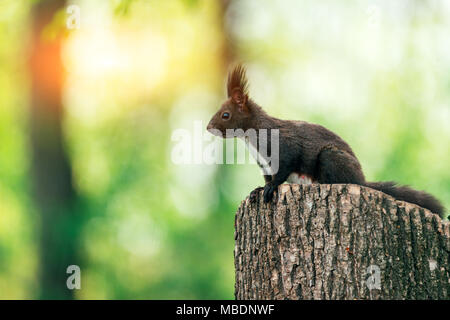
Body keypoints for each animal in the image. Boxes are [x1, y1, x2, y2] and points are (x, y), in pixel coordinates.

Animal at [207, 63, 446, 218]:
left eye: (225, 115)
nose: (208, 128)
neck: (251, 137)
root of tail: (362, 180)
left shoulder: (285, 147)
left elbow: (284, 169)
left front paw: (271, 187)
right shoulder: (264, 163)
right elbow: (267, 177)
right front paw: (258, 189)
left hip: (330, 157)